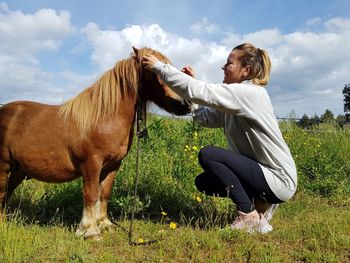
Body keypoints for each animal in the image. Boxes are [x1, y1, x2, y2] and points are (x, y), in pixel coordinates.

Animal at [0, 47, 191, 239]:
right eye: (155, 70)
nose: (186, 104)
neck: (104, 117)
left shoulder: (113, 165)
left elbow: (104, 193)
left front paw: (104, 224)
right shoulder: (92, 163)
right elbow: (91, 194)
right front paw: (90, 231)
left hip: (18, 171)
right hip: (4, 167)